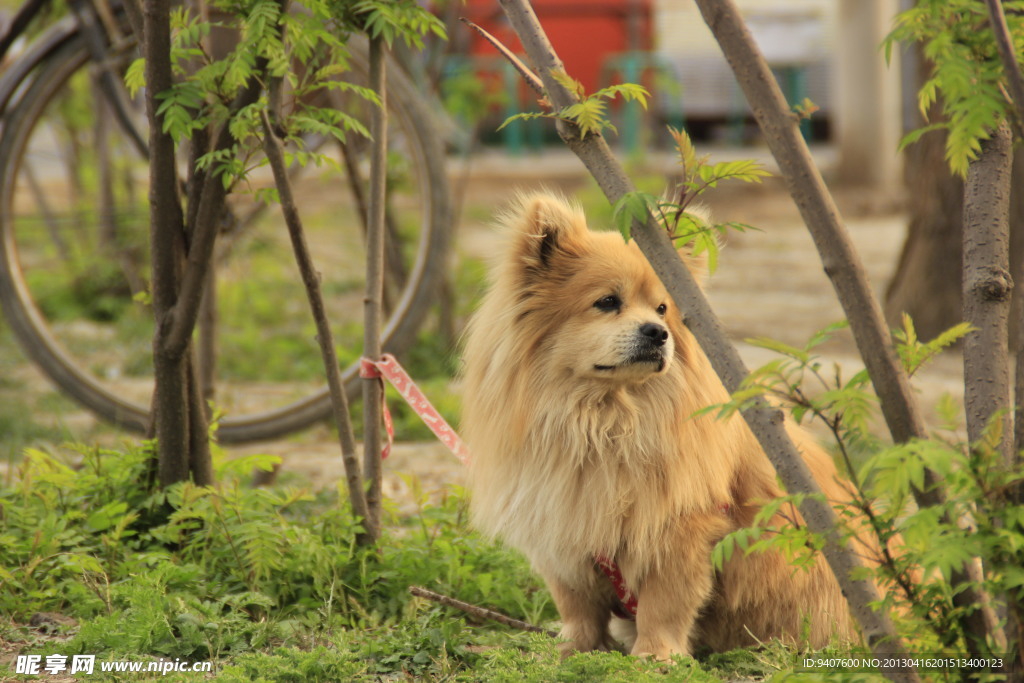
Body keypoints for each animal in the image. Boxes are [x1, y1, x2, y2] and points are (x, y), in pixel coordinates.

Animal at [464, 191, 864, 655]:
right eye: (607, 302)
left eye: (661, 309)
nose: (658, 332)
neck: (606, 424)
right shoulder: (564, 527)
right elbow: (577, 605)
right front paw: (574, 648)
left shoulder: (677, 529)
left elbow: (664, 602)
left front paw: (656, 655)